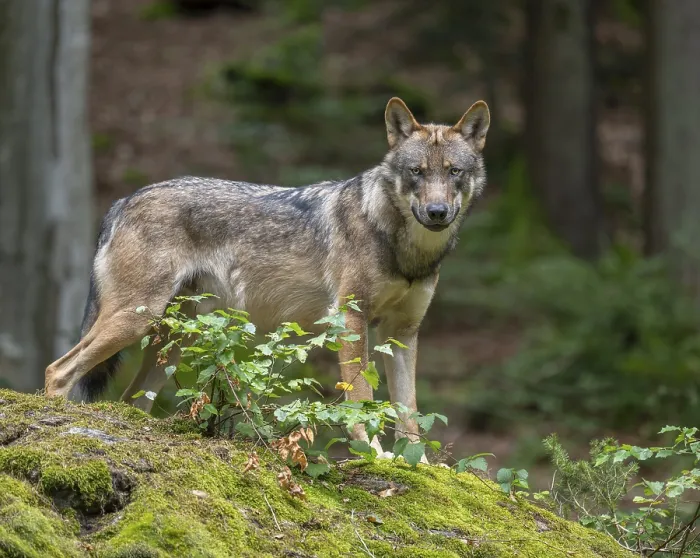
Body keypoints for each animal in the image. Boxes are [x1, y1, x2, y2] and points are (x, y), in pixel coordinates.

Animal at [44, 97, 490, 454]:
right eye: (417, 172)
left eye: (453, 172)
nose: (437, 212)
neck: (403, 245)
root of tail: (124, 199)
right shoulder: (350, 320)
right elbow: (360, 399)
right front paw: (375, 455)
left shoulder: (403, 333)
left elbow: (409, 412)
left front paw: (420, 466)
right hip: (137, 320)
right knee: (58, 370)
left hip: (171, 340)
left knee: (130, 399)